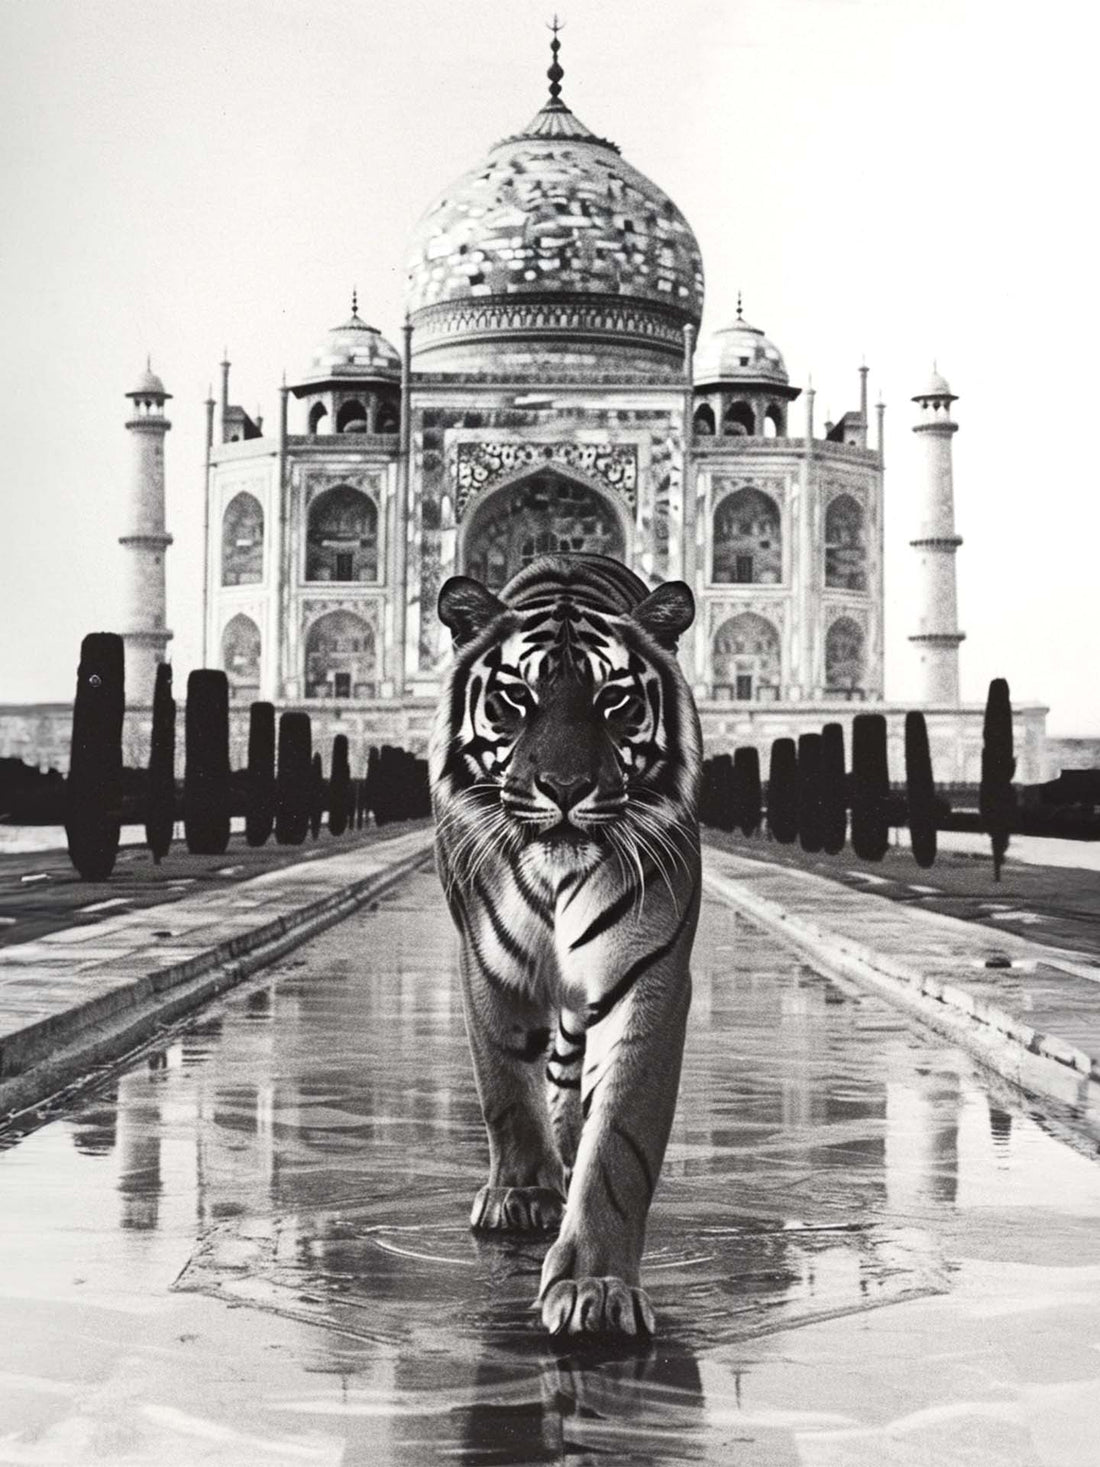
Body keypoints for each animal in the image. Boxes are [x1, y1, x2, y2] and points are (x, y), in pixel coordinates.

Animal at [430, 552, 702, 1340]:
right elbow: (504, 1088)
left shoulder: (649, 973)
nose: (565, 787)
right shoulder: (487, 965)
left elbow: (621, 1140)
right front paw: (520, 1195)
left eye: (615, 701)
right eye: (515, 699)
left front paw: (596, 1285)